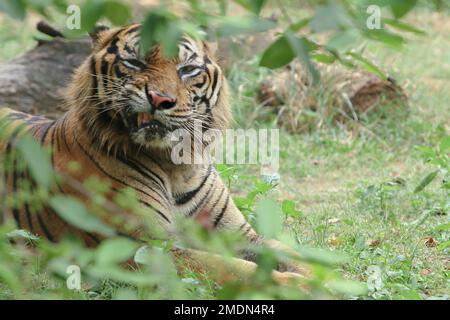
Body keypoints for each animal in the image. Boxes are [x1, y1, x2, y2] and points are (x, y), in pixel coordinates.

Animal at [0, 22, 310, 288]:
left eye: (187, 69)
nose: (160, 99)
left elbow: (289, 252)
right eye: (135, 63)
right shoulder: (147, 248)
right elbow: (235, 269)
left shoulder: (238, 234)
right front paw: (301, 287)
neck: (177, 166)